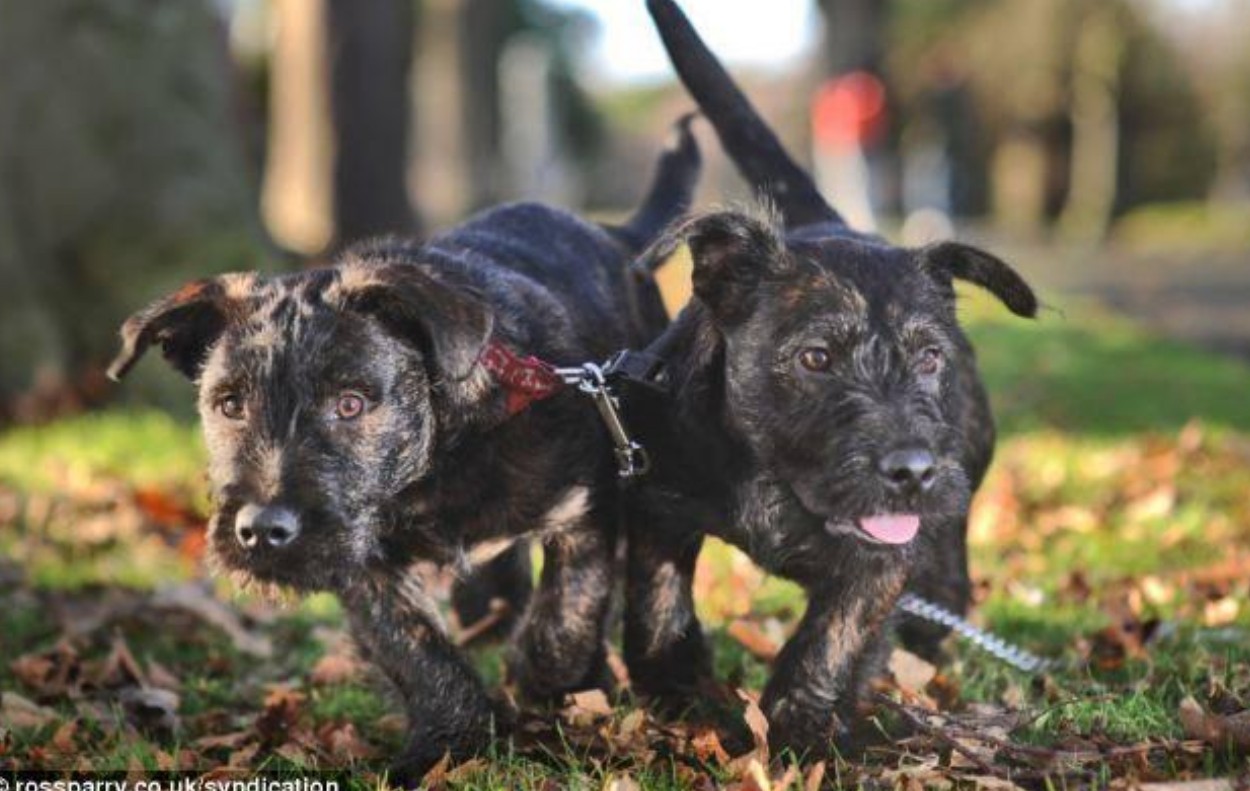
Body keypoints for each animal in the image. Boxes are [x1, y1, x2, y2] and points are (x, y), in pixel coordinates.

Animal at [108, 120, 705, 779]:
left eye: (350, 403)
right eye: (230, 404)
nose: (261, 532)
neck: (439, 464)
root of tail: (615, 233)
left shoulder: (585, 508)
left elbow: (566, 618)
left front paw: (552, 692)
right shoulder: (365, 564)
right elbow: (416, 651)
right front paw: (447, 746)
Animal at [620, 0, 1040, 754]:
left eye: (931, 358)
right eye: (815, 358)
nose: (913, 471)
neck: (775, 483)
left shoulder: (885, 557)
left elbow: (832, 636)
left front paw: (798, 733)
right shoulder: (657, 502)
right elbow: (656, 606)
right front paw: (678, 695)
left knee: (939, 599)